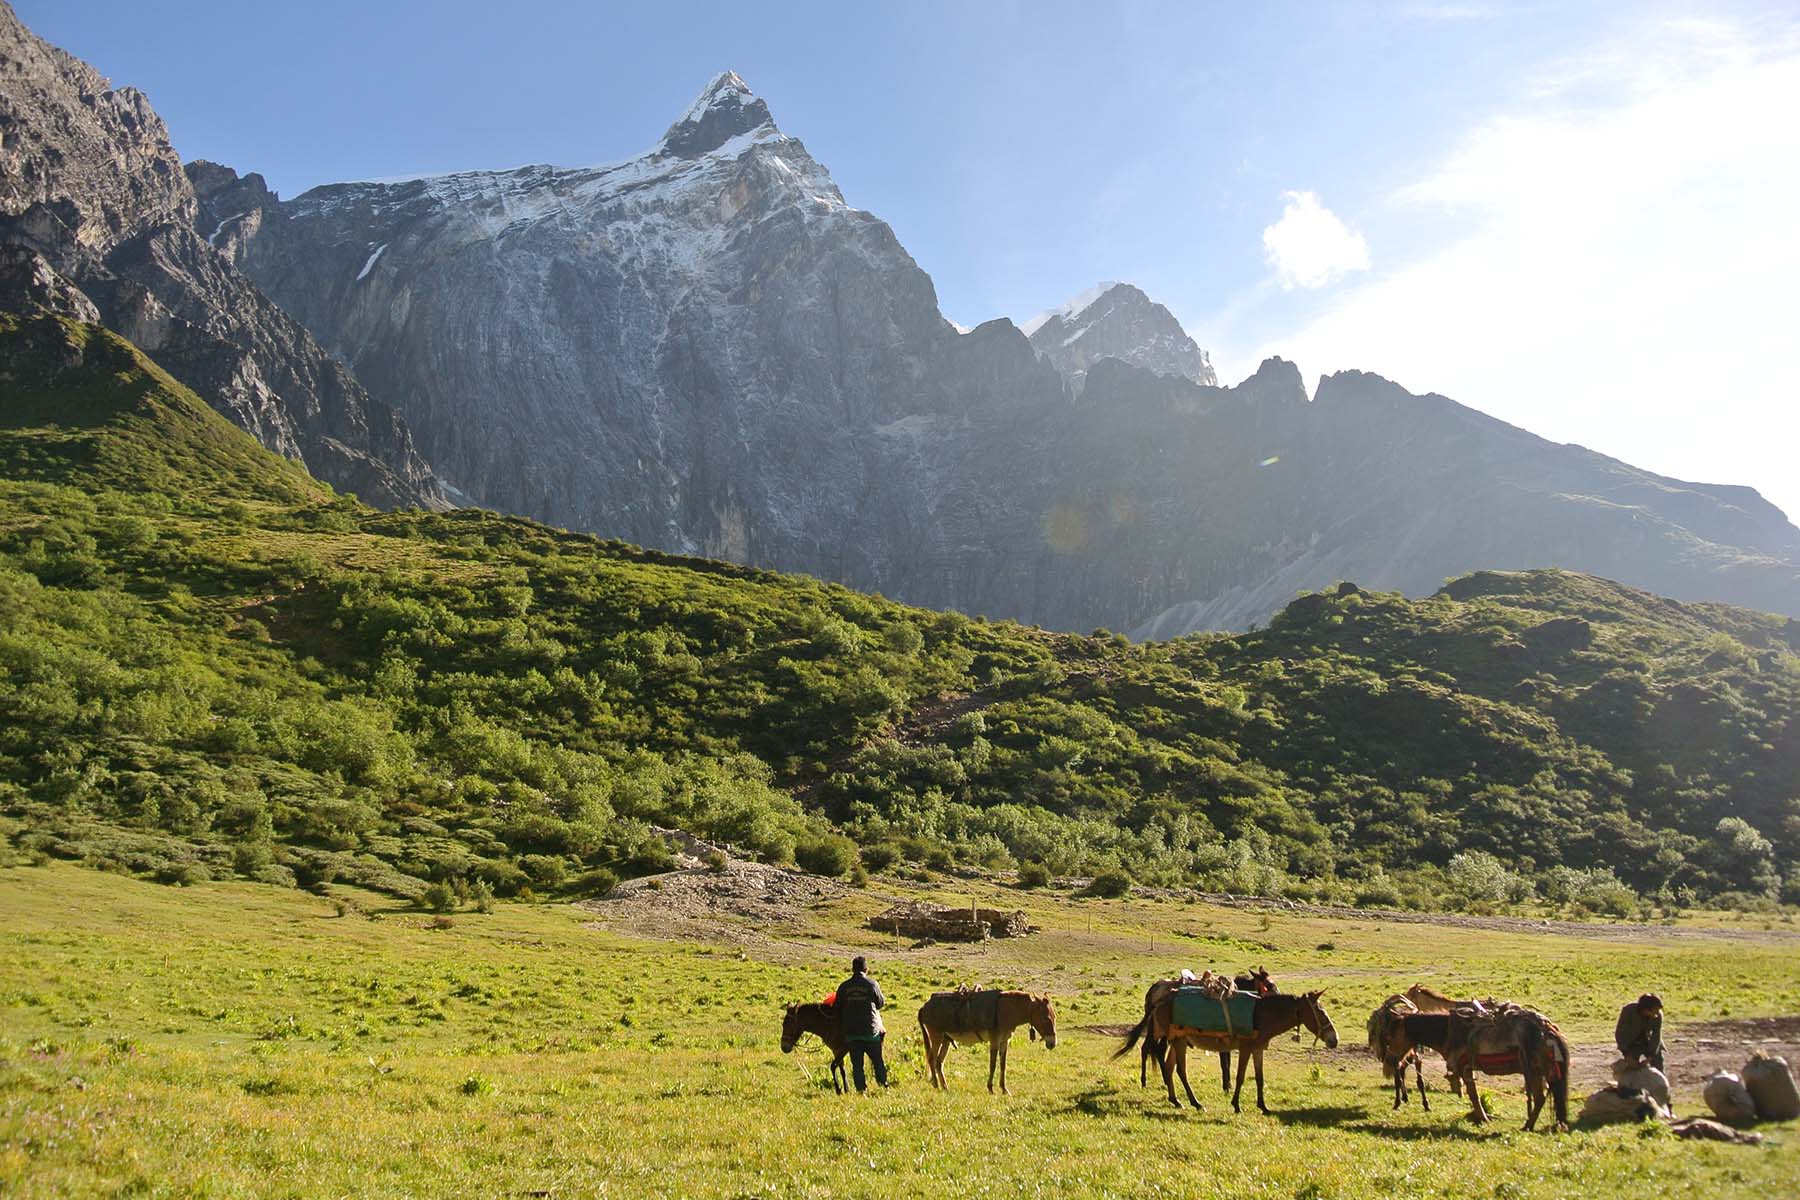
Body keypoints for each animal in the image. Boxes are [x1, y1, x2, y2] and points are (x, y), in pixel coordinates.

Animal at [921, 993, 1058, 1093]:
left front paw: (1004, 1089)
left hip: (946, 1039)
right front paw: (991, 1088)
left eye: (1054, 1017)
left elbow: (1003, 1064)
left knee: (939, 1062)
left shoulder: (1005, 1041)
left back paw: (945, 1087)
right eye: (1046, 1018)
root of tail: (925, 1006)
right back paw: (936, 1085)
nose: (1053, 1044)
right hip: (936, 1036)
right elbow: (993, 1064)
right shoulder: (995, 1040)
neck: (1006, 1011)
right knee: (932, 1058)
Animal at [1123, 993, 1339, 1115]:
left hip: (1179, 1040)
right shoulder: (1246, 1048)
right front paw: (1236, 1105)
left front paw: (1263, 1107)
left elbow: (1260, 1078)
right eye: (1320, 1012)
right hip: (1177, 1040)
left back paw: (1176, 1101)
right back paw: (1195, 1103)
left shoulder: (1258, 1049)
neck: (1262, 1015)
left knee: (1169, 1068)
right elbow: (1241, 1076)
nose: (1334, 1039)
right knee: (1180, 1071)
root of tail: (1159, 1002)